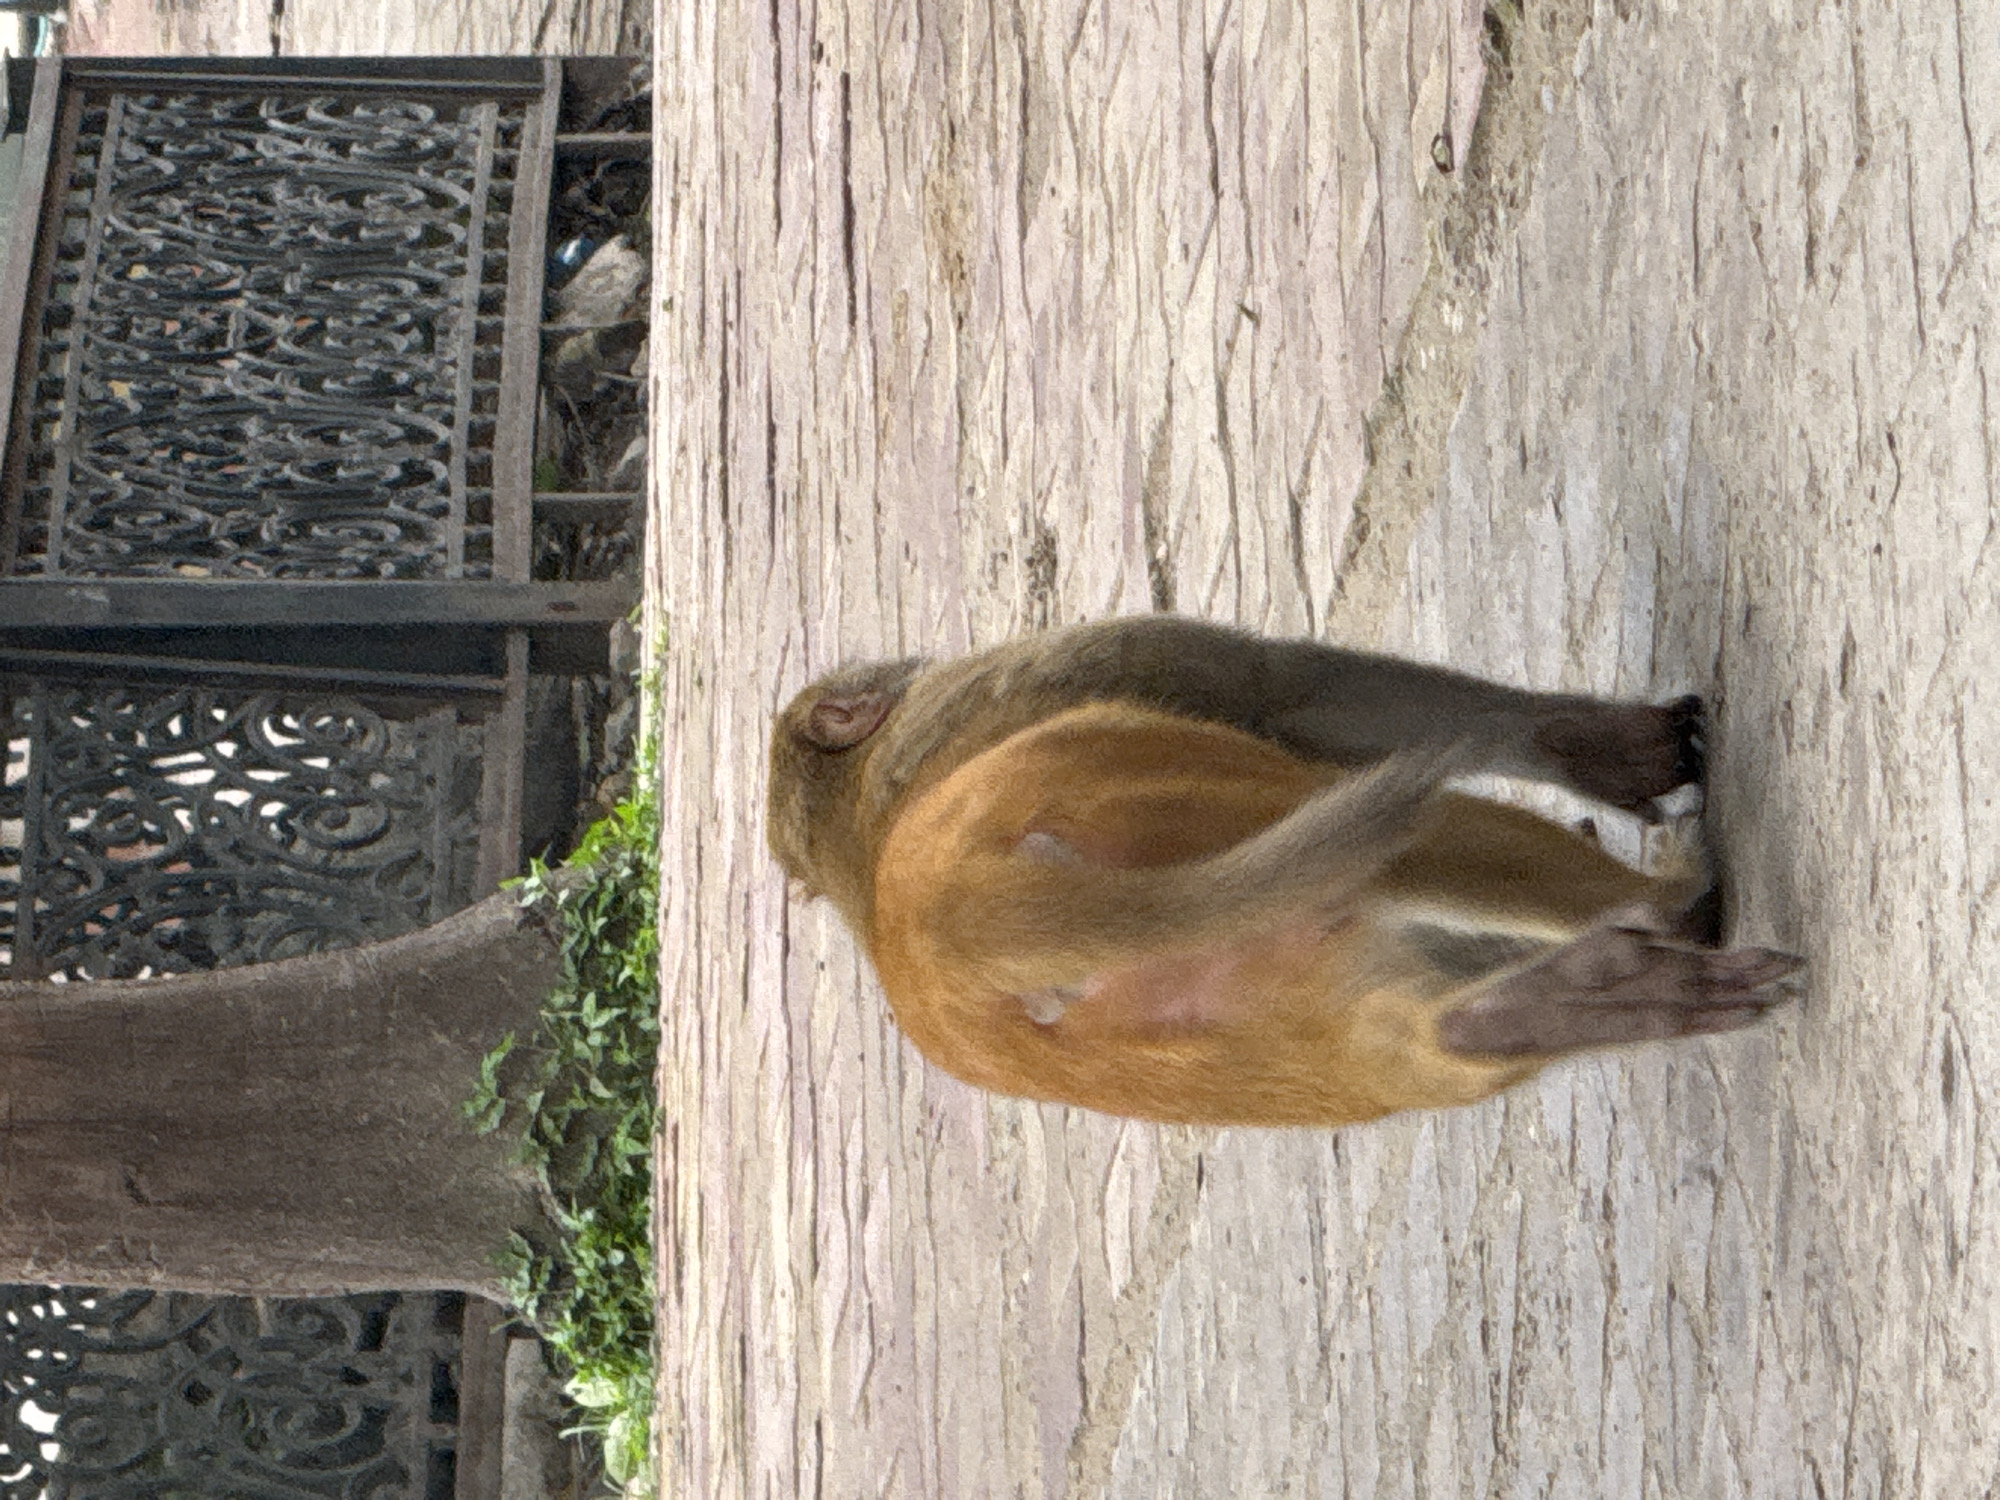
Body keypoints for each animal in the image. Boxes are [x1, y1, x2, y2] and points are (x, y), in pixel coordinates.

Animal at [767, 615, 1801, 1127]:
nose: (898, 663)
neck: (858, 845)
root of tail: (936, 943)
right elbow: (1288, 689)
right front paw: (1601, 748)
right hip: (1139, 794)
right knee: (1413, 830)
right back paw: (1671, 905)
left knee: (1386, 1032)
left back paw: (1515, 1012)